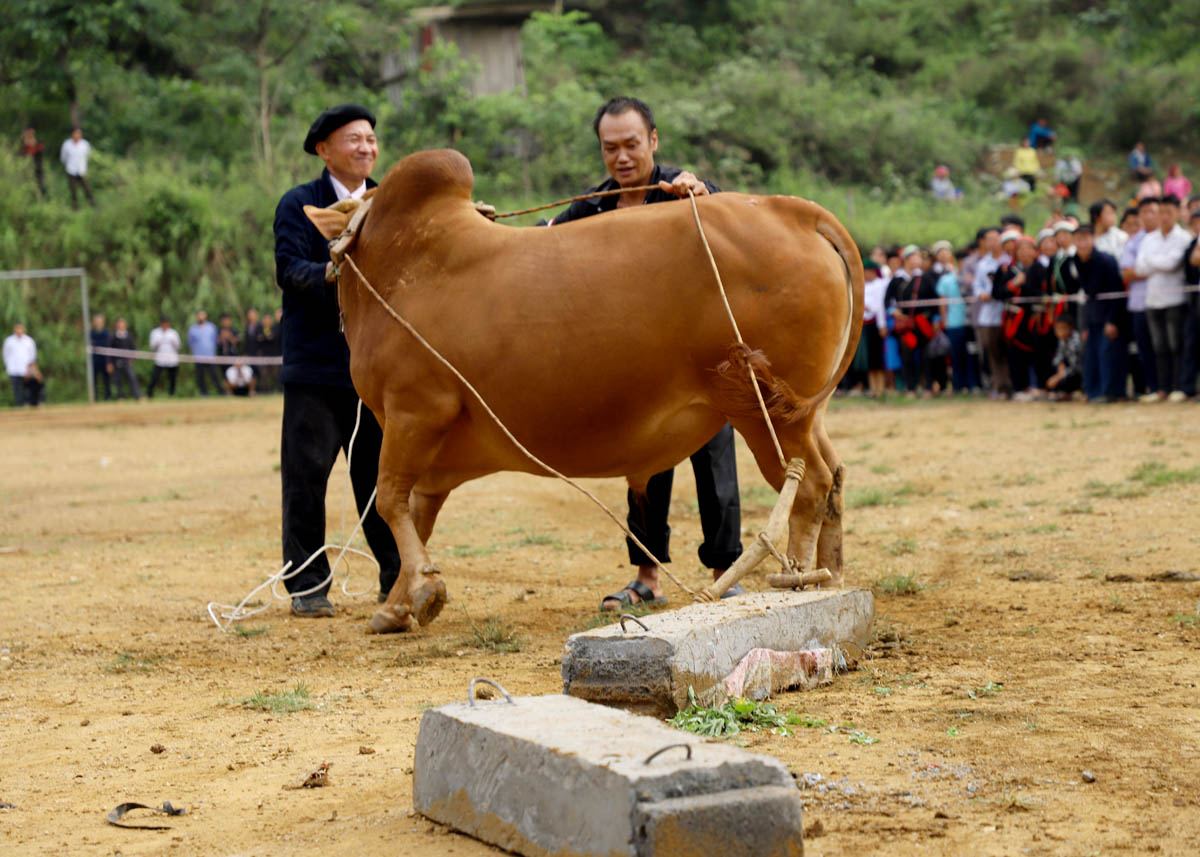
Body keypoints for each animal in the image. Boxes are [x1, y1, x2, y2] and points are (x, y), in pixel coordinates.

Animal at [304, 147, 859, 628]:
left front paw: (420, 592)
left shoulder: (414, 412)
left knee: (808, 485)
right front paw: (396, 606)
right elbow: (417, 513)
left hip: (763, 411)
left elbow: (390, 501)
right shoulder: (430, 449)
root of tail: (791, 210)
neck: (392, 266)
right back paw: (830, 575)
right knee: (832, 476)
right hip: (801, 414)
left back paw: (797, 581)